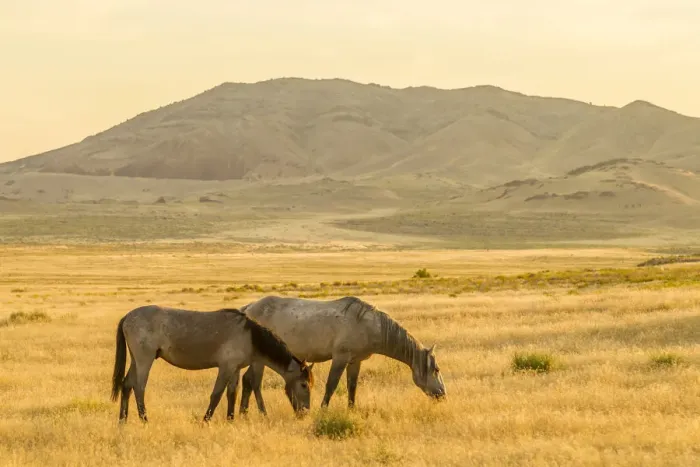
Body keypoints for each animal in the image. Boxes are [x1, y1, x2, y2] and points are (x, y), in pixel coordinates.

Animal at [110, 305, 314, 423]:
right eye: (304, 385)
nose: (305, 412)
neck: (250, 336)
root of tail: (127, 317)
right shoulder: (225, 368)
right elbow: (216, 395)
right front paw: (206, 420)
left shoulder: (235, 369)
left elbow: (232, 394)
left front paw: (231, 420)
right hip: (144, 360)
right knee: (139, 387)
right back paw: (144, 419)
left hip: (136, 360)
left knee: (127, 385)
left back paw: (122, 420)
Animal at [237, 295, 445, 414]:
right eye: (436, 369)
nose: (442, 394)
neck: (369, 324)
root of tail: (248, 308)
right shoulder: (340, 358)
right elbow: (332, 385)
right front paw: (323, 410)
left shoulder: (355, 361)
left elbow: (352, 386)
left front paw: (351, 410)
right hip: (259, 360)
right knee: (254, 382)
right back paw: (262, 412)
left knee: (247, 380)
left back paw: (243, 412)